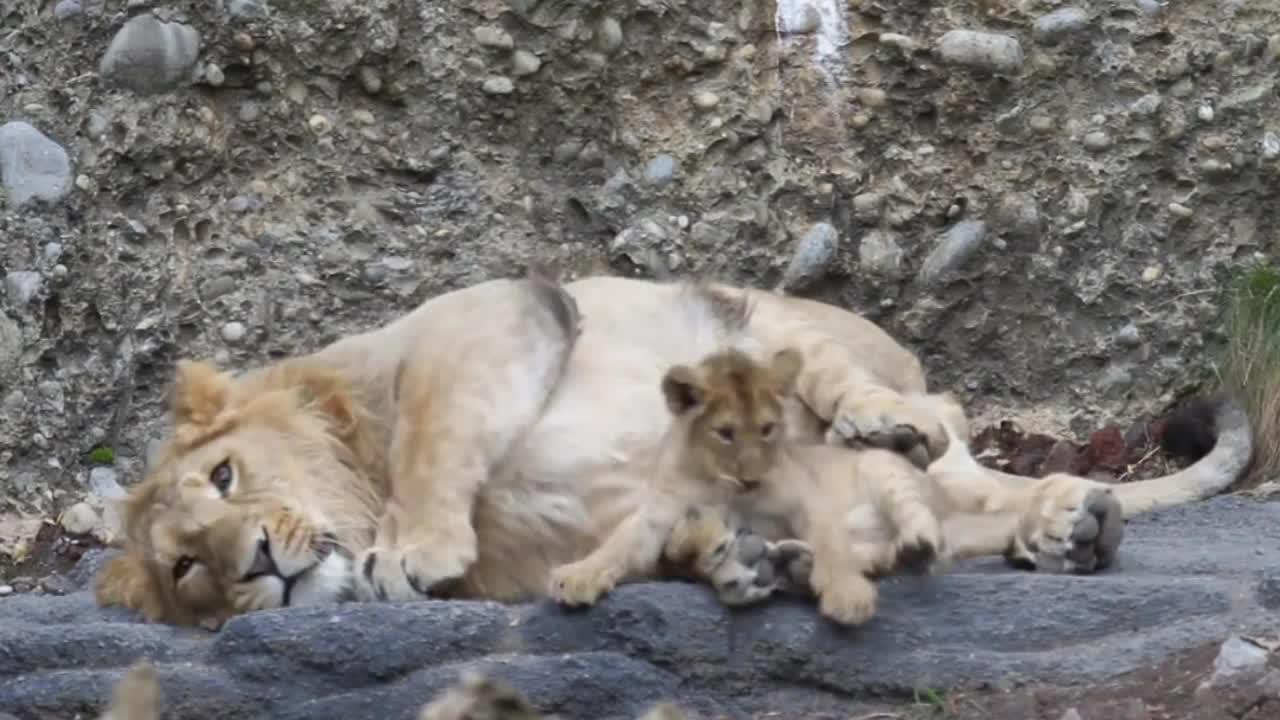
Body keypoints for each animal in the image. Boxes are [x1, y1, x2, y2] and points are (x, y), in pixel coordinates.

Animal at [97, 271, 1249, 625]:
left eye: (225, 476)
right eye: (185, 568)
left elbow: (432, 431)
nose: (253, 562)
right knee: (963, 508)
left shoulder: (496, 308)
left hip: (760, 323)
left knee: (910, 430)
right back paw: (1068, 527)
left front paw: (407, 548)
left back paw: (912, 434)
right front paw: (731, 557)